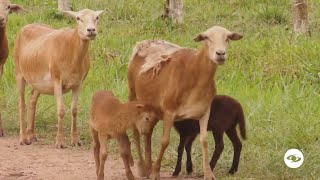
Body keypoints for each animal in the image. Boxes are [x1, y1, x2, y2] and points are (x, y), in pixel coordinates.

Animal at [127, 26, 242, 179]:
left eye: (228, 38)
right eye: (207, 38)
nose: (220, 54)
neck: (195, 75)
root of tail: (143, 43)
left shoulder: (204, 111)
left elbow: (204, 141)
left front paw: (208, 173)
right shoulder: (169, 111)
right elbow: (165, 142)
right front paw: (156, 172)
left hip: (153, 108)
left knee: (148, 134)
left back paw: (148, 167)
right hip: (133, 95)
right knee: (135, 130)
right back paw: (142, 168)